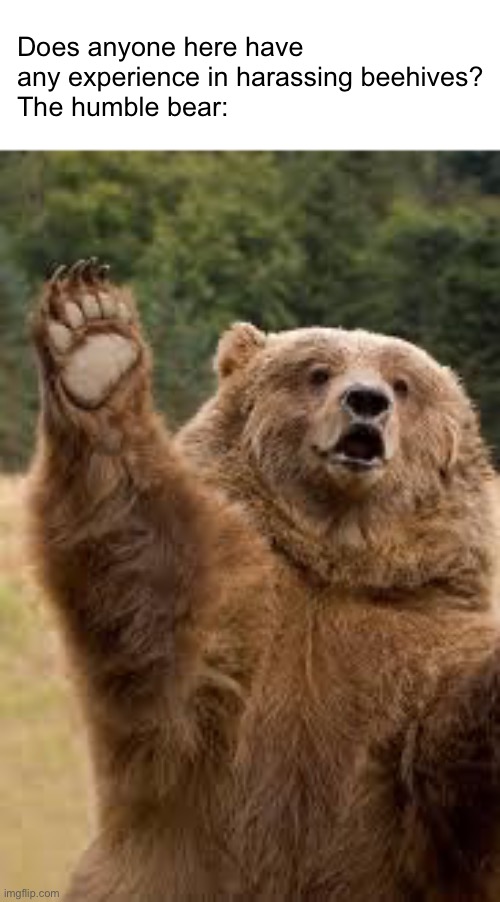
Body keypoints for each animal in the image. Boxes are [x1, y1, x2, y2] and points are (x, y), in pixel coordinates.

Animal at [28, 258, 500, 901]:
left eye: (403, 383)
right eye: (318, 371)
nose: (366, 402)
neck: (333, 565)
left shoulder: (415, 646)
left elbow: (446, 751)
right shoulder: (235, 639)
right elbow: (151, 584)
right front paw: (92, 338)